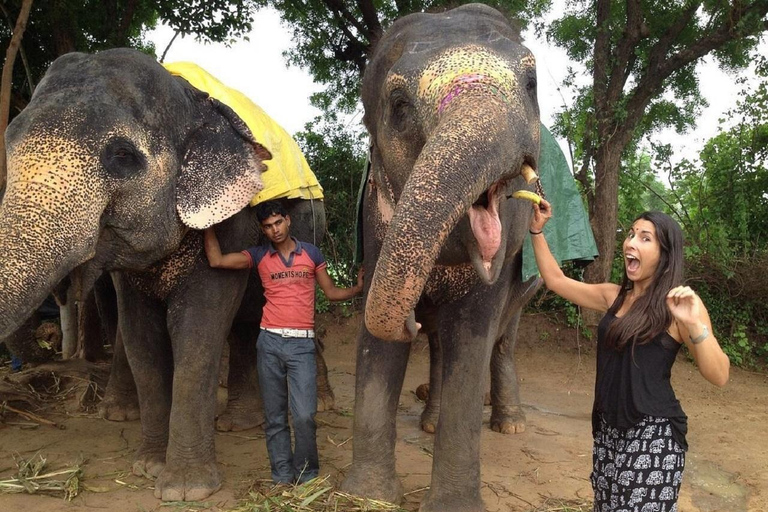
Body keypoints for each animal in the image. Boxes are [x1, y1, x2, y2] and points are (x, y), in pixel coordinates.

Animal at [0, 47, 290, 501]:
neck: (188, 99)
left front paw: (186, 490)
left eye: (122, 155)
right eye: (9, 142)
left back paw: (242, 423)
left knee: (246, 322)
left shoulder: (233, 222)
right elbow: (142, 336)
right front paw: (148, 468)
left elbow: (198, 329)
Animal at [340, 5, 541, 511]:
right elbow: (377, 340)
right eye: (398, 106)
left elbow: (472, 335)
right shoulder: (377, 226)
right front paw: (366, 495)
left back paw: (510, 424)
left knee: (503, 335)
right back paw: (430, 420)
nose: (410, 318)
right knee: (438, 343)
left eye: (532, 84)